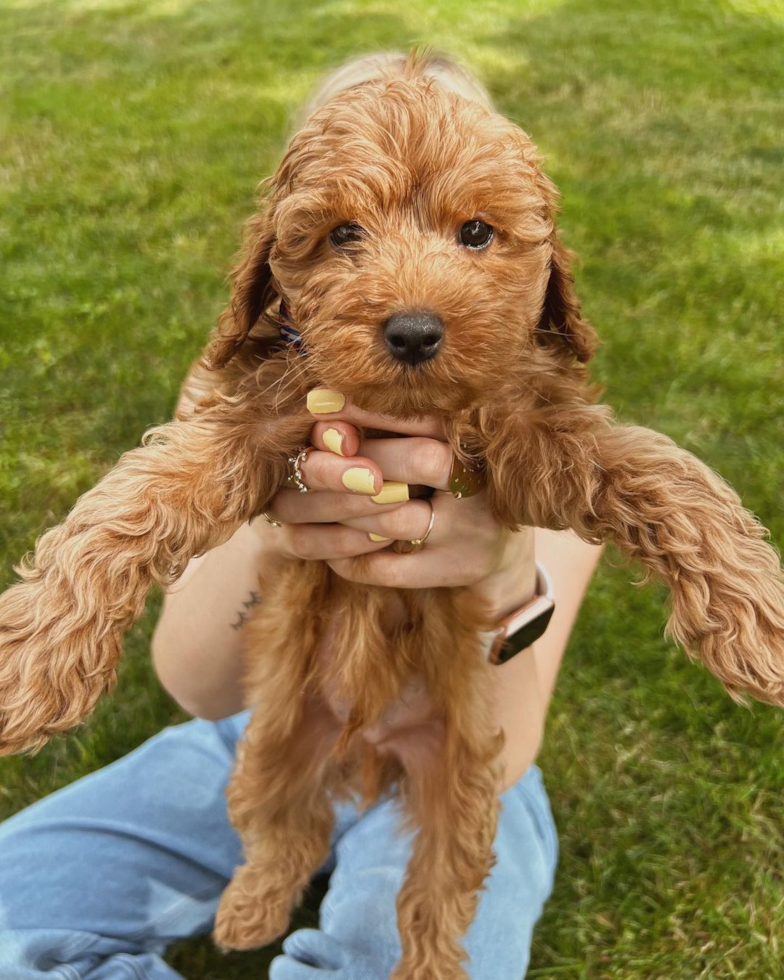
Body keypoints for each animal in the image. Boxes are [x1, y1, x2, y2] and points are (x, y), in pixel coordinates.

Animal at [1, 53, 784, 980]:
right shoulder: (254, 423)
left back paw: (422, 960)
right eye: (343, 234)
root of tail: (368, 748)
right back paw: (248, 911)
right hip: (272, 745)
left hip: (465, 780)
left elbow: (658, 473)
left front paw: (755, 616)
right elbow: (133, 503)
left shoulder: (526, 437)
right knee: (284, 830)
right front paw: (35, 661)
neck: (402, 412)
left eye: (476, 233)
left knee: (434, 894)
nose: (413, 331)